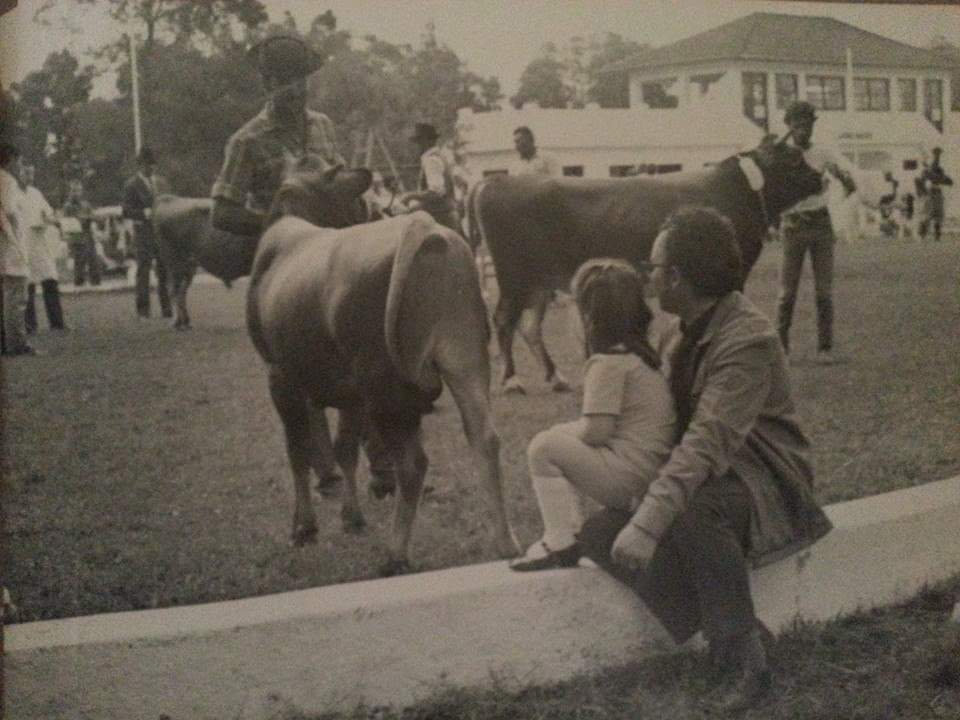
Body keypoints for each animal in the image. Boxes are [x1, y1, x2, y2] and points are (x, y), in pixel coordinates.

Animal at [246, 166, 516, 576]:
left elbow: (298, 450)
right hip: (466, 361)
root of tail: (424, 227)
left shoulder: (280, 376)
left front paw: (304, 528)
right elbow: (344, 449)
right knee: (485, 439)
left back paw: (396, 554)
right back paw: (506, 545)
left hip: (386, 387)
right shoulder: (350, 393)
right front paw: (352, 518)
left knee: (413, 464)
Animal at [470, 135, 824, 394]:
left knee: (529, 327)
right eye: (794, 159)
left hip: (538, 282)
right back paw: (512, 380)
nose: (821, 177)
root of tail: (495, 182)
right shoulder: (732, 273)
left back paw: (556, 377)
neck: (734, 190)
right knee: (504, 321)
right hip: (515, 278)